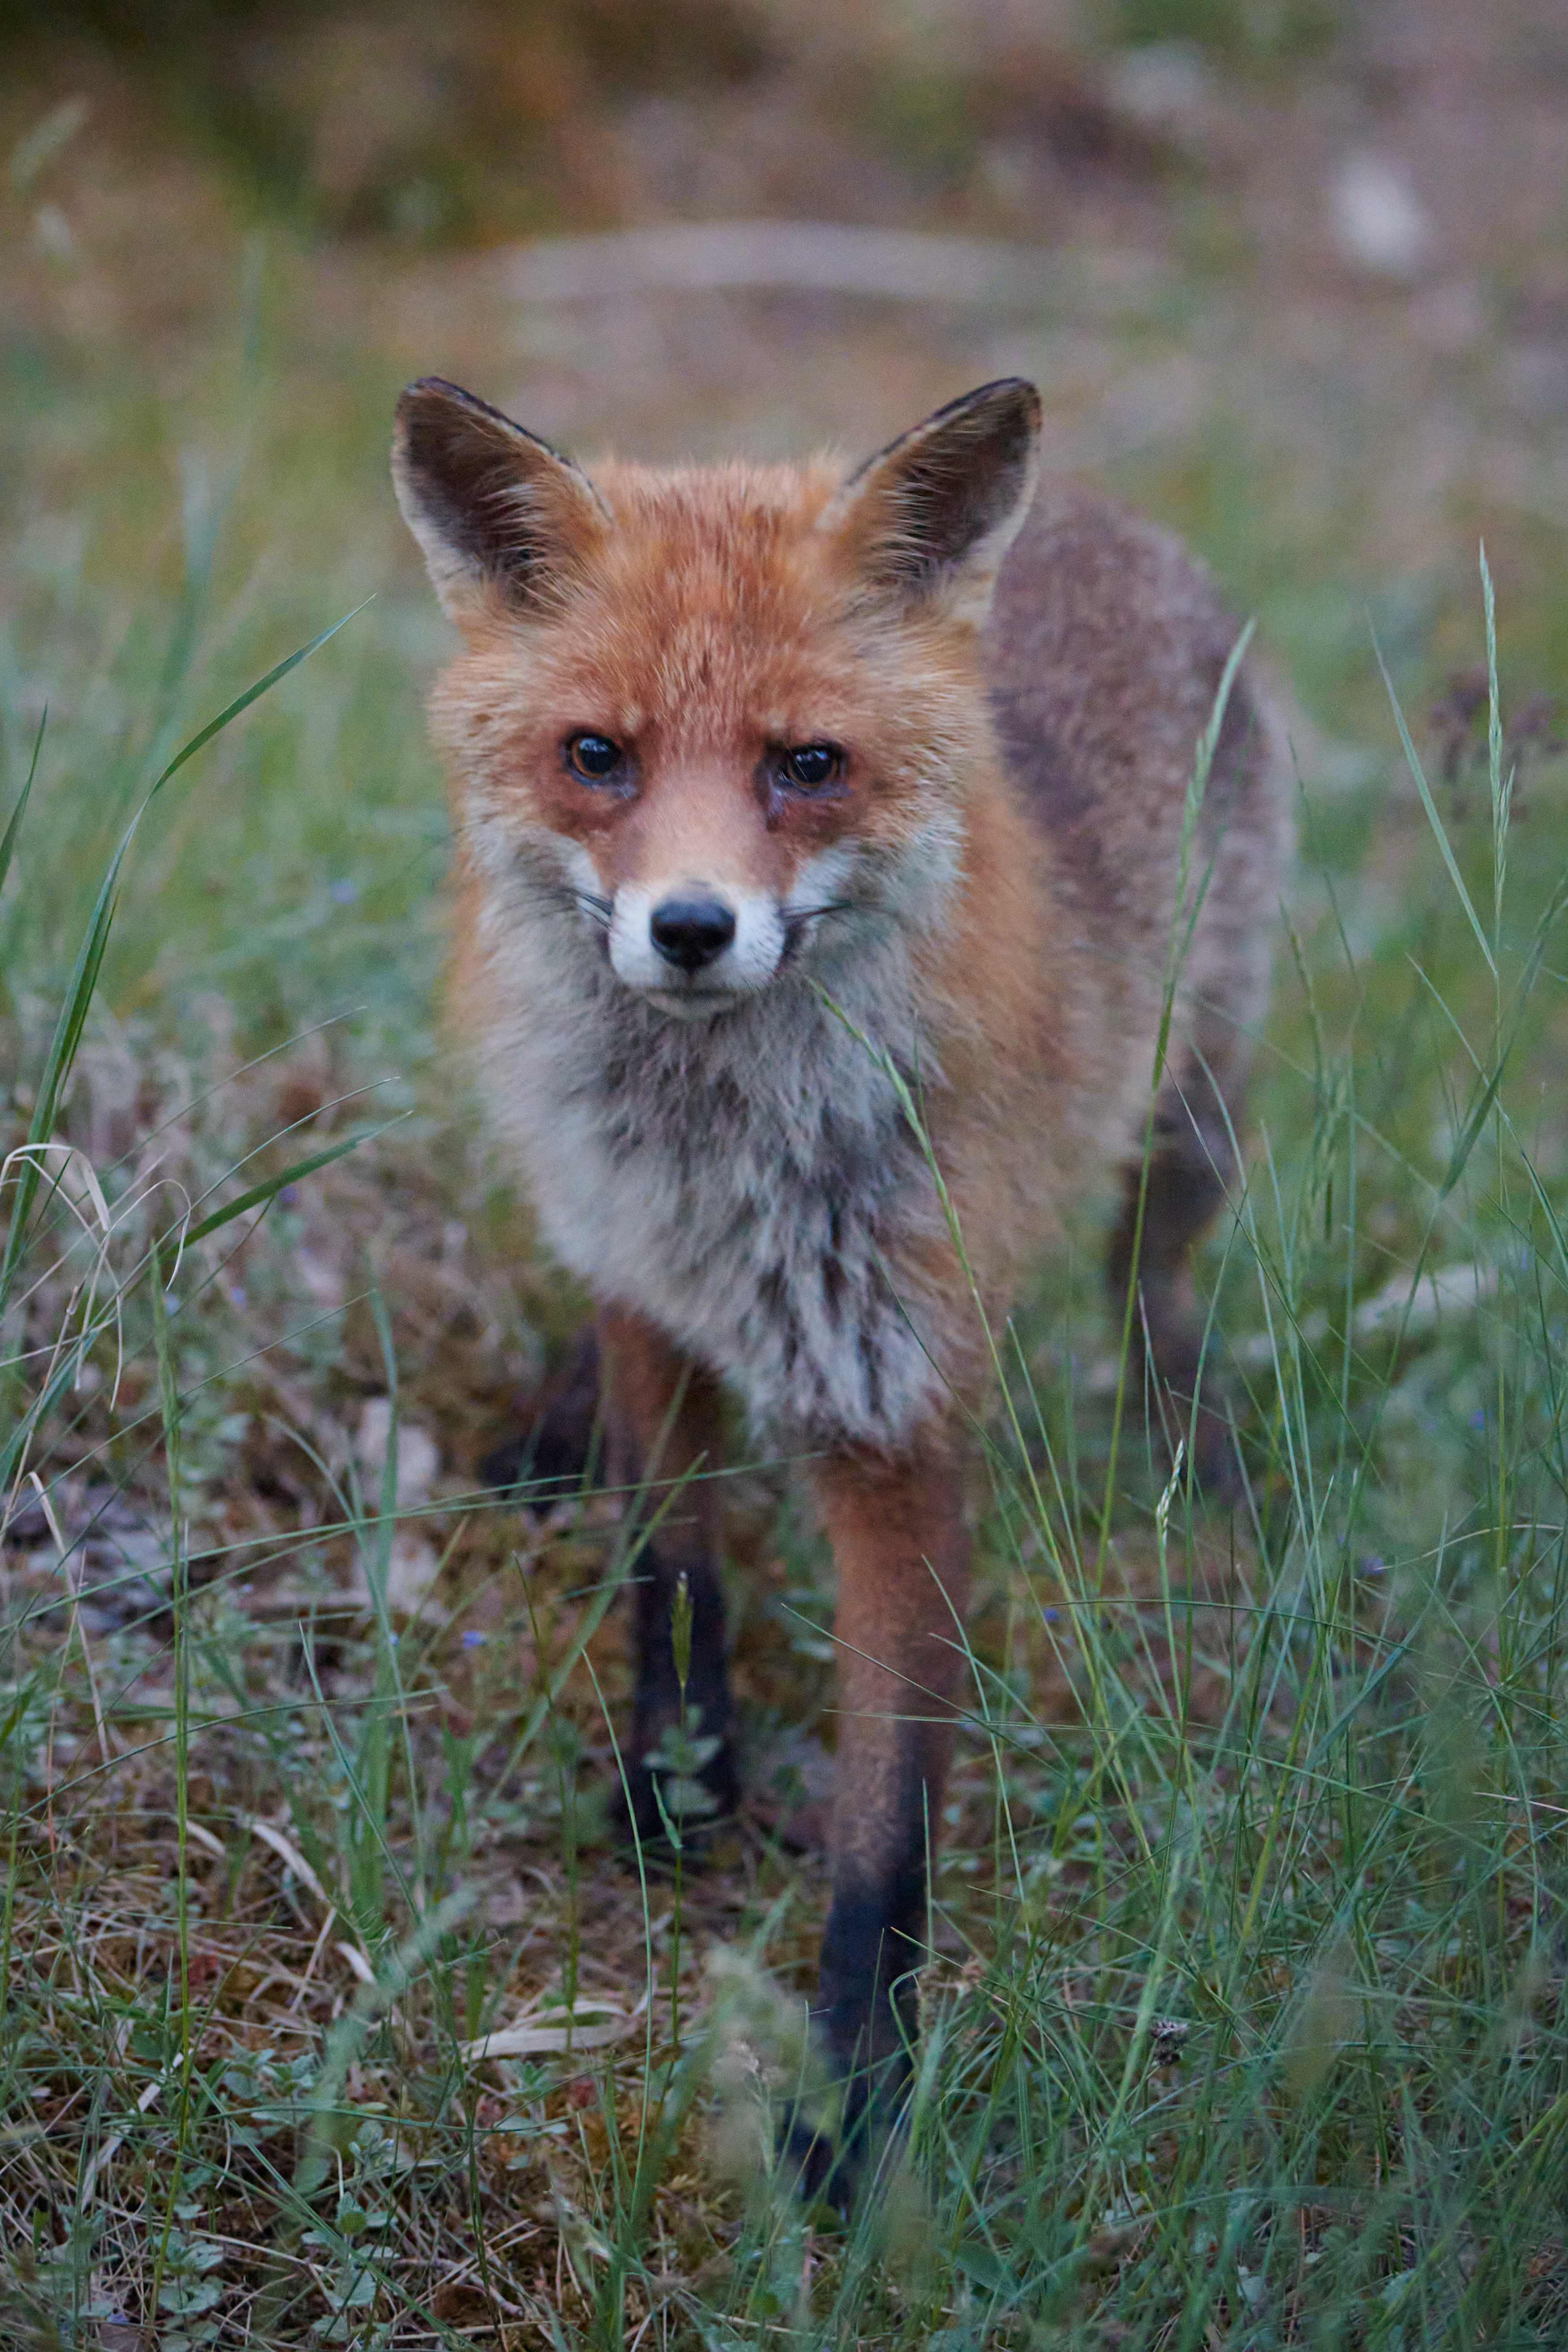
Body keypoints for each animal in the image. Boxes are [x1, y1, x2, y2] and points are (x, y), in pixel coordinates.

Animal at [392, 376, 1288, 2192]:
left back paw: (1189, 1447)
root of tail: (1111, 522)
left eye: (804, 767)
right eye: (597, 757)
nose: (688, 927)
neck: (717, 1176)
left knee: (1151, 1288)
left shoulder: (902, 1418)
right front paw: (677, 1785)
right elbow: (674, 1569)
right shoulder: (649, 1295)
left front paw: (859, 2100)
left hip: (1190, 1125)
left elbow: (889, 1826)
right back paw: (549, 1437)